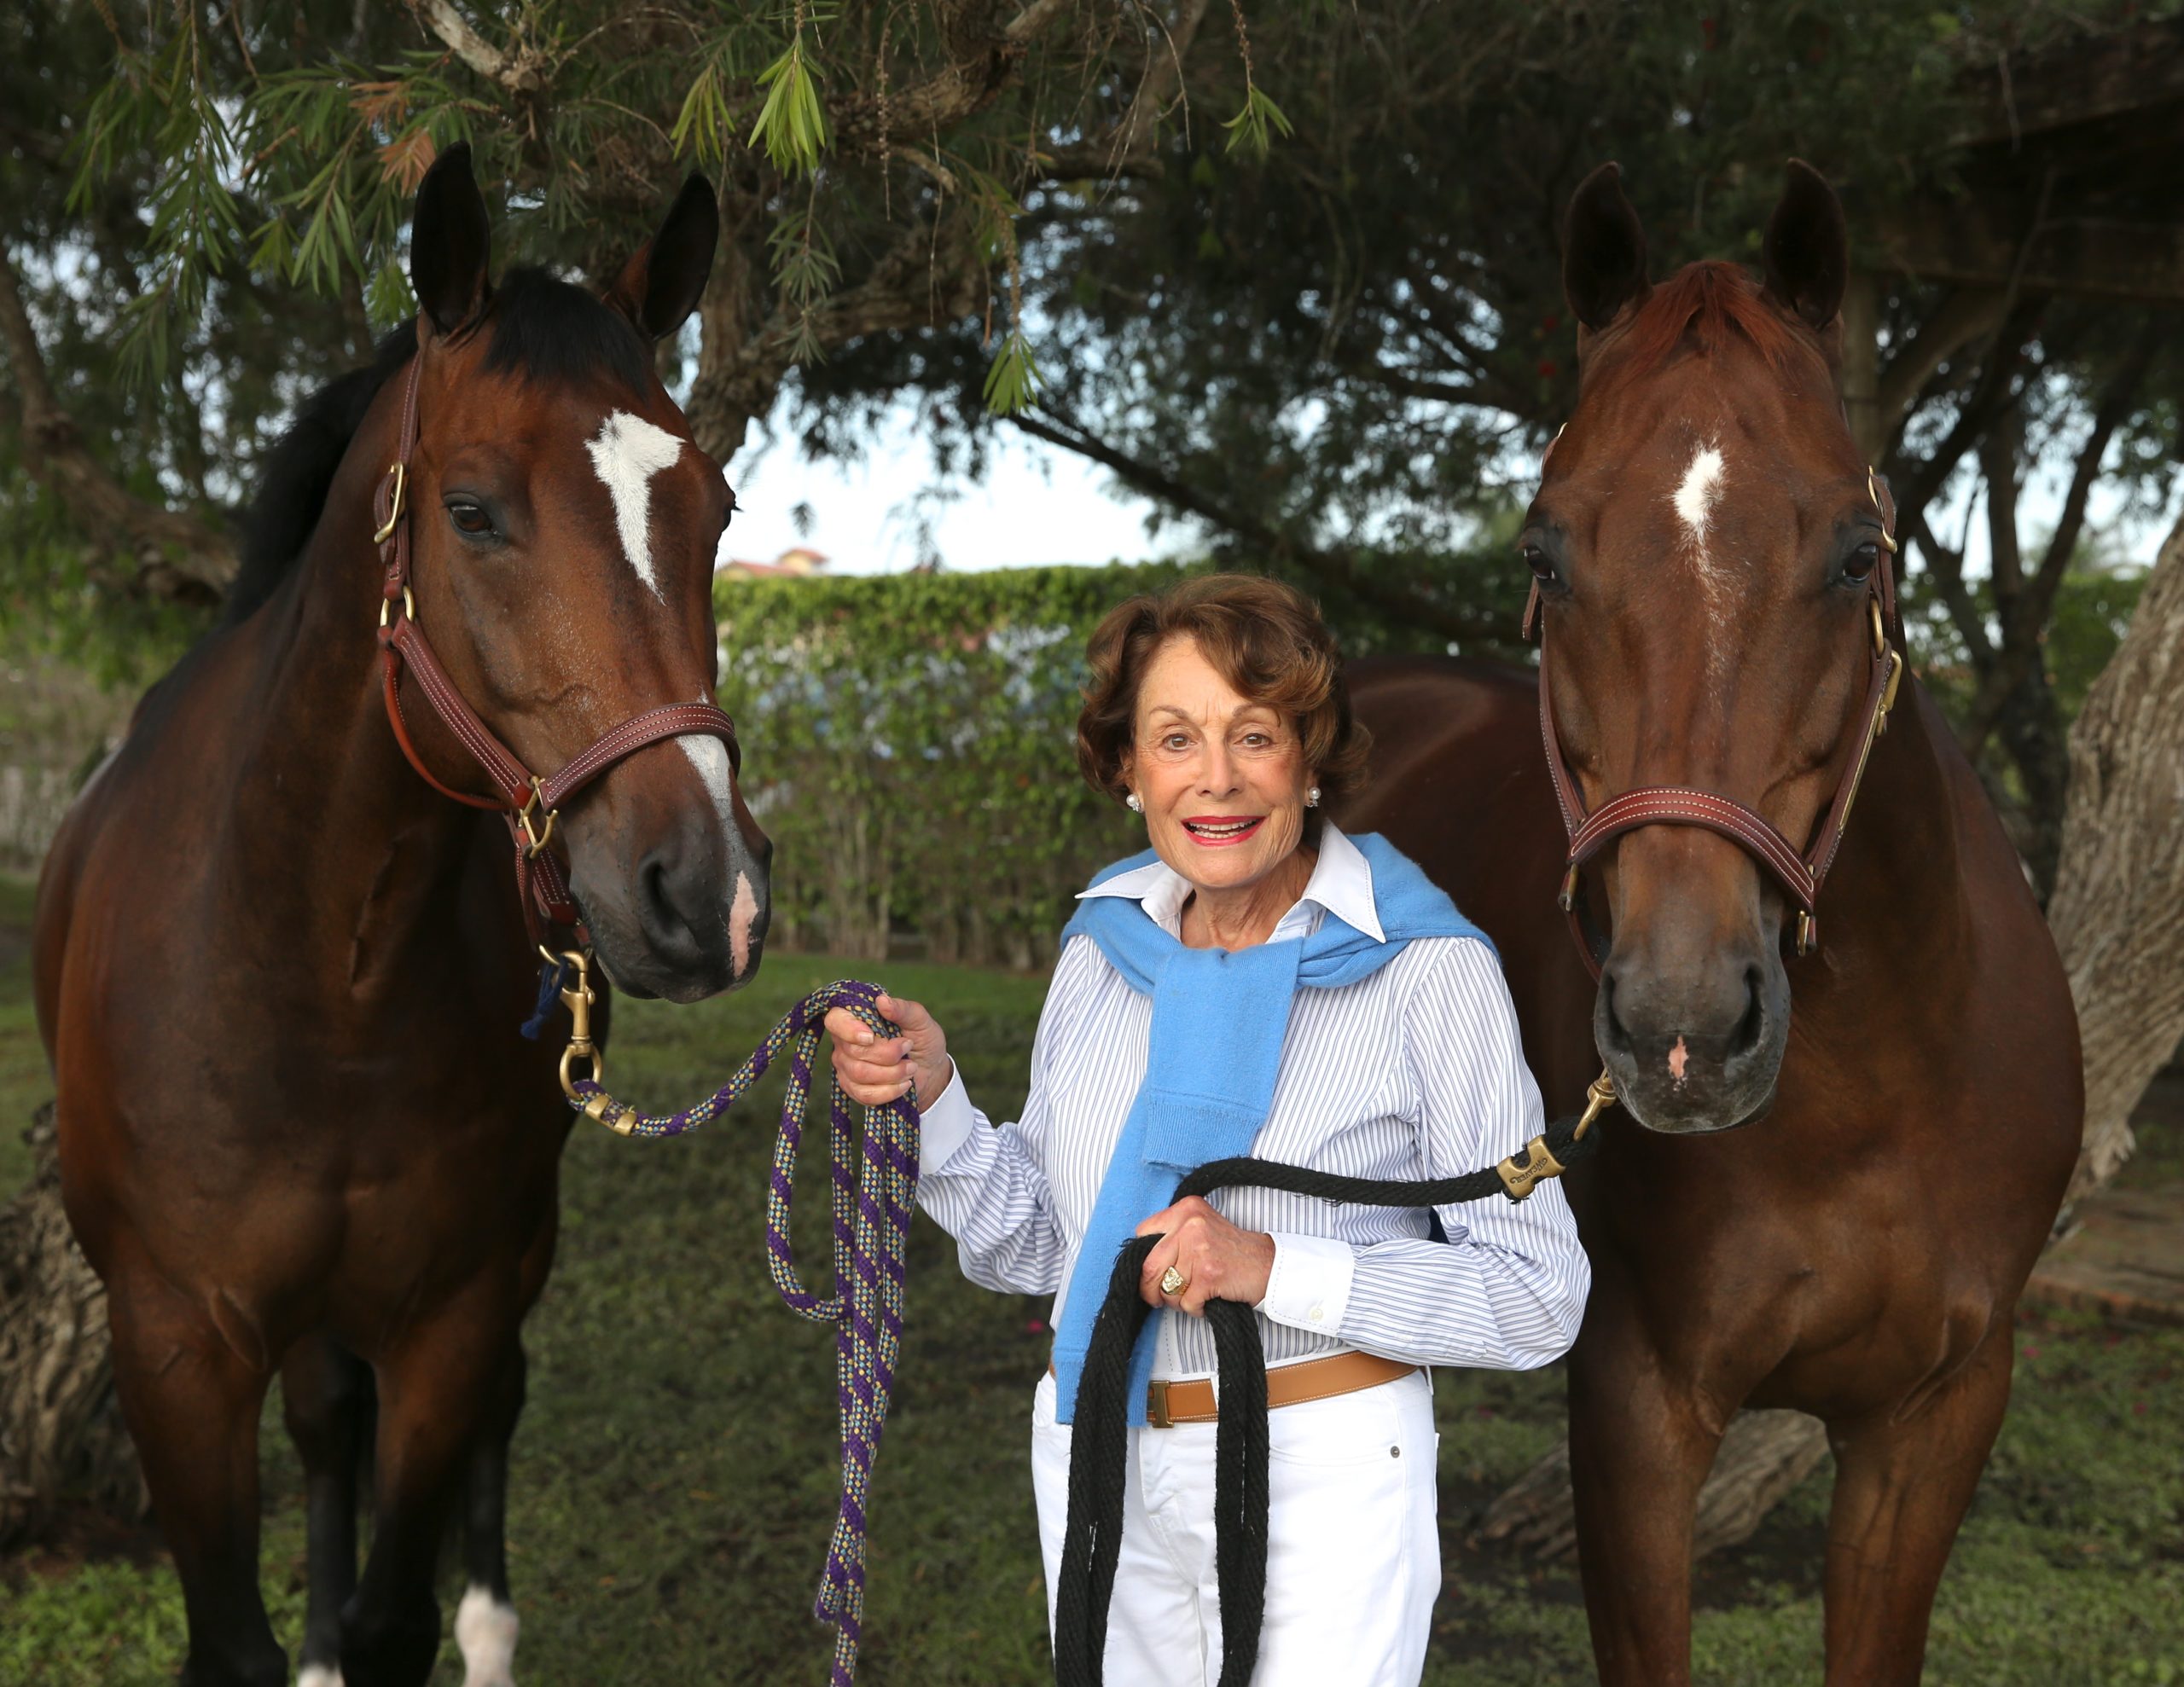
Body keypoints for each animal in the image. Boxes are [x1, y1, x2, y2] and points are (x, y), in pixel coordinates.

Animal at [30, 148, 773, 1684]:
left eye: (716, 509)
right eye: (474, 509)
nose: (707, 891)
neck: (322, 973)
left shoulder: (453, 1309)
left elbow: (399, 1610)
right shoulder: (172, 1345)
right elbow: (247, 1624)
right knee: (326, 1424)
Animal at [1345, 161, 2079, 1684]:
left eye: (1859, 552)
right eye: (1544, 554)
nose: (1683, 1029)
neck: (1880, 1085)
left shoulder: (1937, 1418)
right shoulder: (1638, 1407)